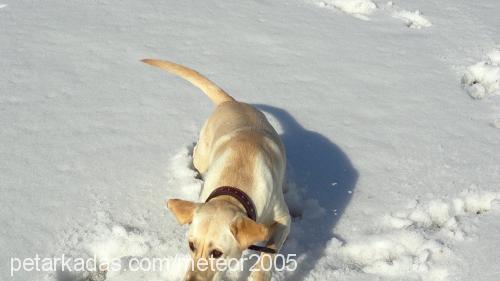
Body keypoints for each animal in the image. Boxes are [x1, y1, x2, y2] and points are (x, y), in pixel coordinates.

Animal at [143, 58, 292, 278]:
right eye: (191, 245)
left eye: (217, 253)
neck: (235, 184)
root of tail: (230, 102)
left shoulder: (283, 219)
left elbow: (269, 252)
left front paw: (259, 274)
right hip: (202, 154)